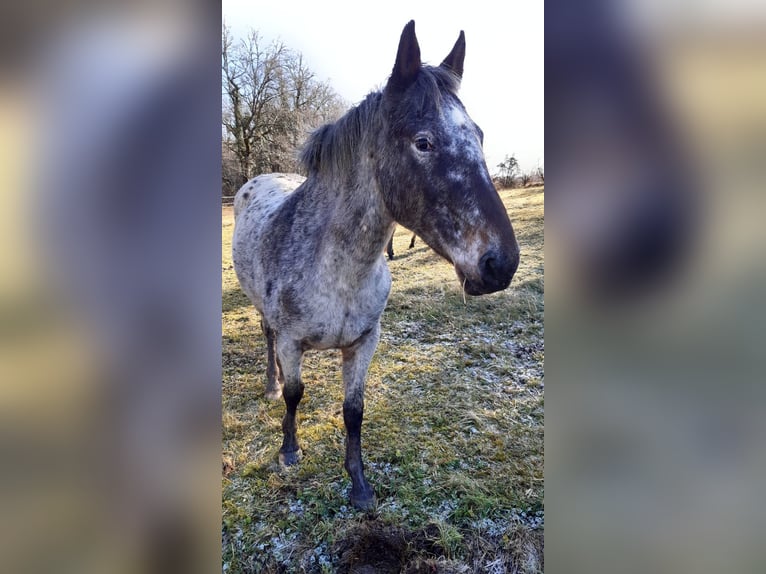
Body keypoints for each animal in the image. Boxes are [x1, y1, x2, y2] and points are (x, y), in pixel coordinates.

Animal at [232, 20, 520, 510]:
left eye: (479, 136)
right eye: (423, 142)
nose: (501, 263)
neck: (339, 272)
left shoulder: (365, 342)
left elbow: (354, 412)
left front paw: (359, 485)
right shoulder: (292, 341)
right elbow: (295, 394)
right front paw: (289, 449)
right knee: (267, 342)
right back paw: (269, 384)